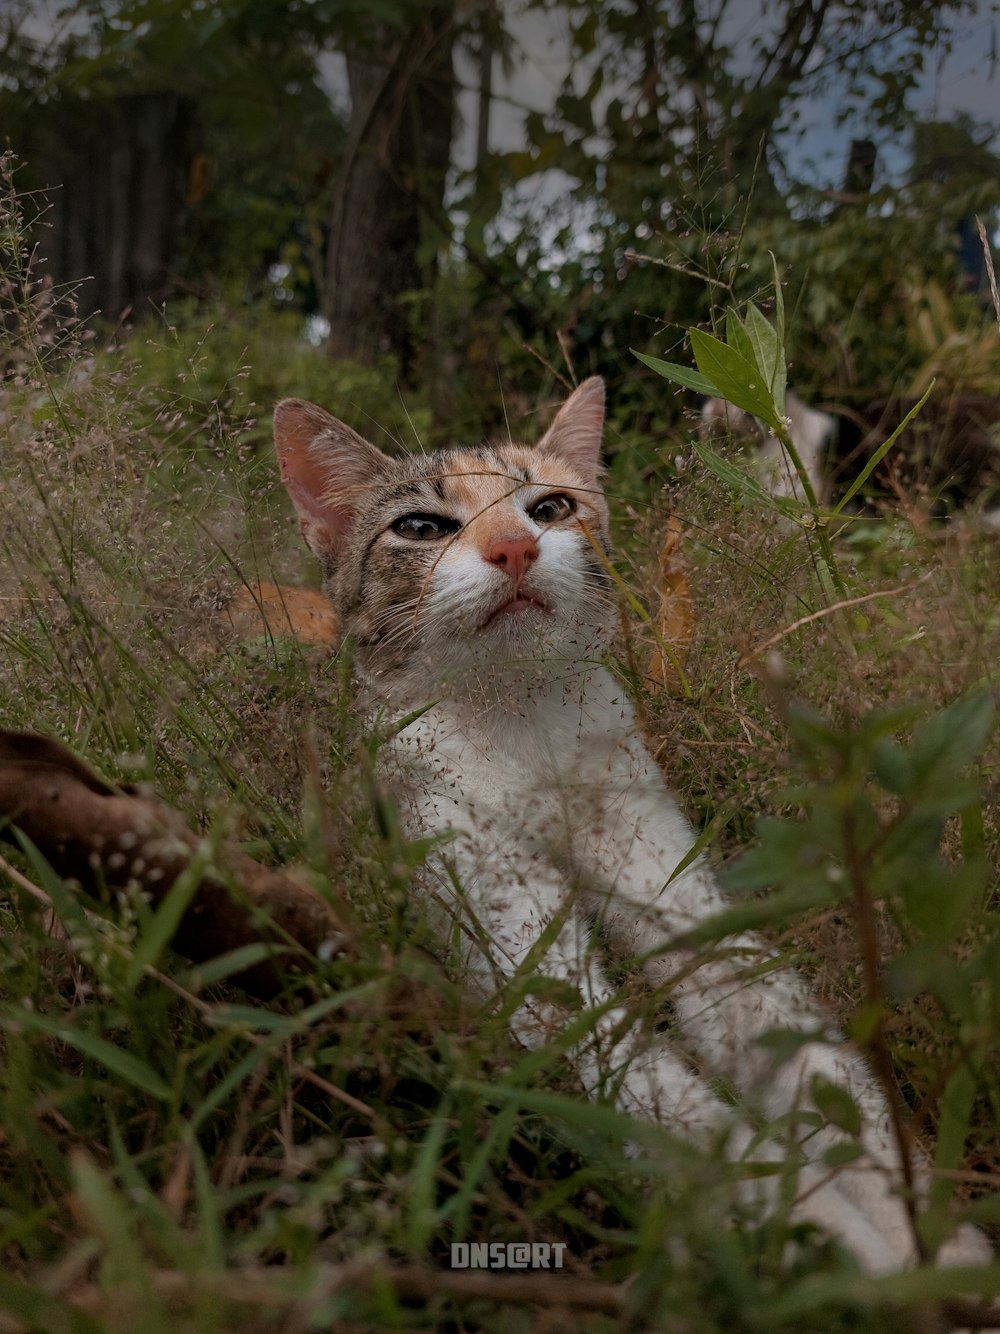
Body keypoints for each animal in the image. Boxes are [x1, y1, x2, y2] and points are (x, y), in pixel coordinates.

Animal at [274, 381, 997, 1275]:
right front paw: (846, 1257)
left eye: (549, 507)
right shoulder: (513, 934)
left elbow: (812, 1057)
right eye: (420, 527)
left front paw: (937, 1242)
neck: (526, 728)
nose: (514, 547)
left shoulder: (668, 874)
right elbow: (693, 1122)